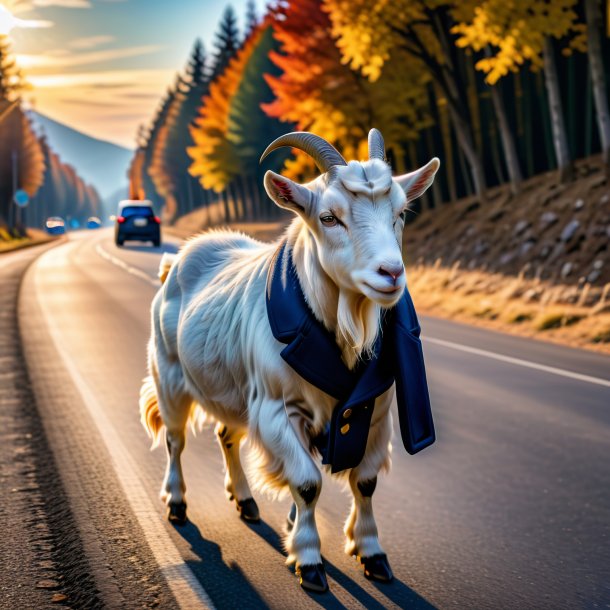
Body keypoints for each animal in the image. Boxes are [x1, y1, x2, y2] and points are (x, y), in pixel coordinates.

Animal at [141, 131, 436, 592]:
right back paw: (176, 502)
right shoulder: (277, 409)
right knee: (175, 438)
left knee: (226, 434)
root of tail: (176, 261)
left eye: (401, 213)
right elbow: (307, 483)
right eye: (330, 217)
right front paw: (309, 561)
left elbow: (365, 482)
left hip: (235, 390)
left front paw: (371, 553)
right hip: (169, 374)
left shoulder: (375, 414)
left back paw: (245, 501)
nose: (390, 273)